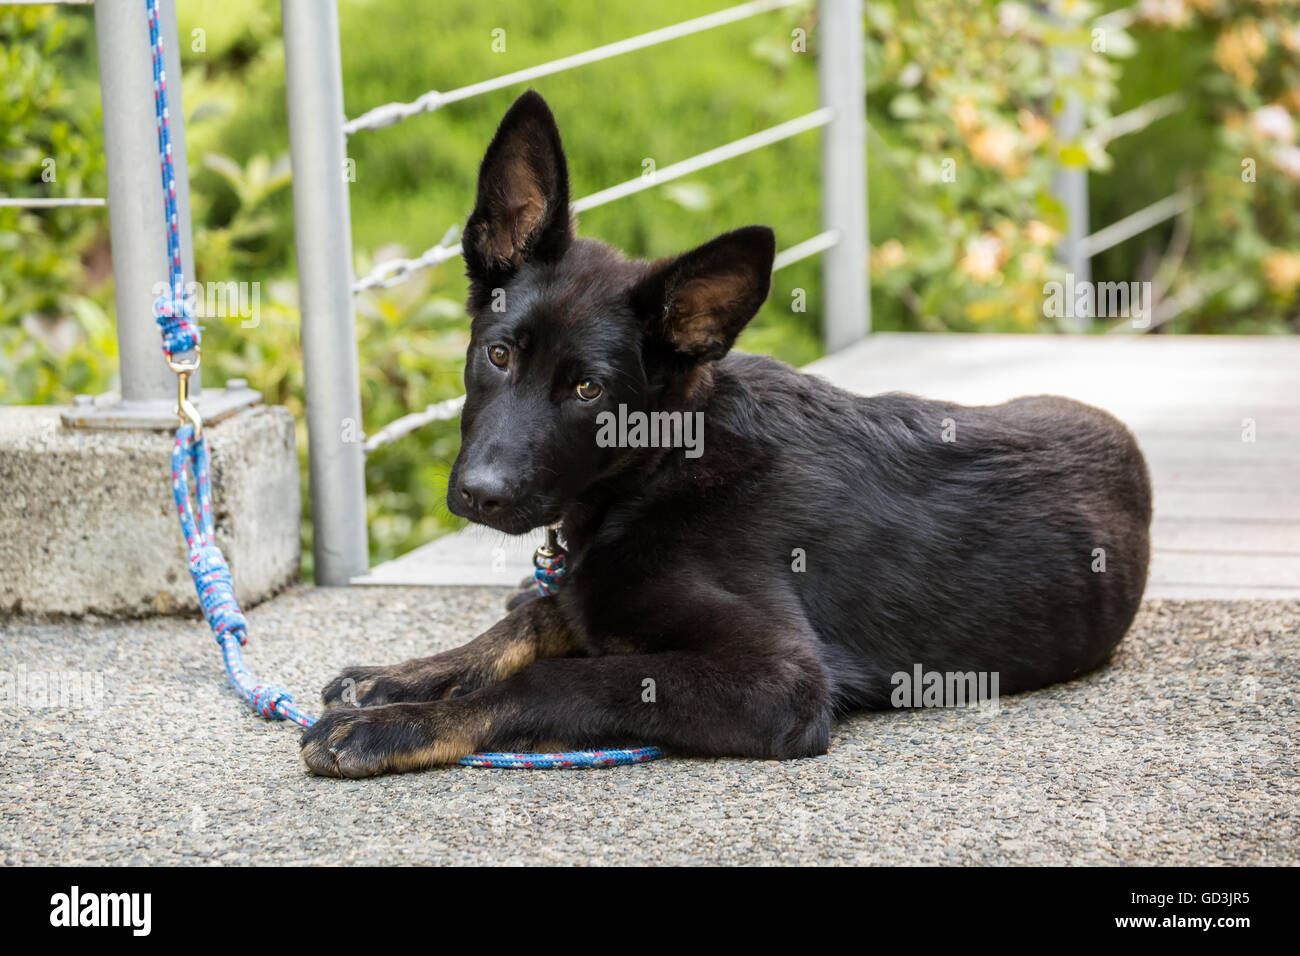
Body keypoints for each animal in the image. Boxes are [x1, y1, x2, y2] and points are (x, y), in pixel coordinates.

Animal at [299, 89, 1154, 780]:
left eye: (588, 389)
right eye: (498, 354)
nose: (481, 495)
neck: (659, 472)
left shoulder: (780, 680)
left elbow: (553, 674)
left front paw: (395, 726)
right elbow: (528, 624)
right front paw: (401, 676)